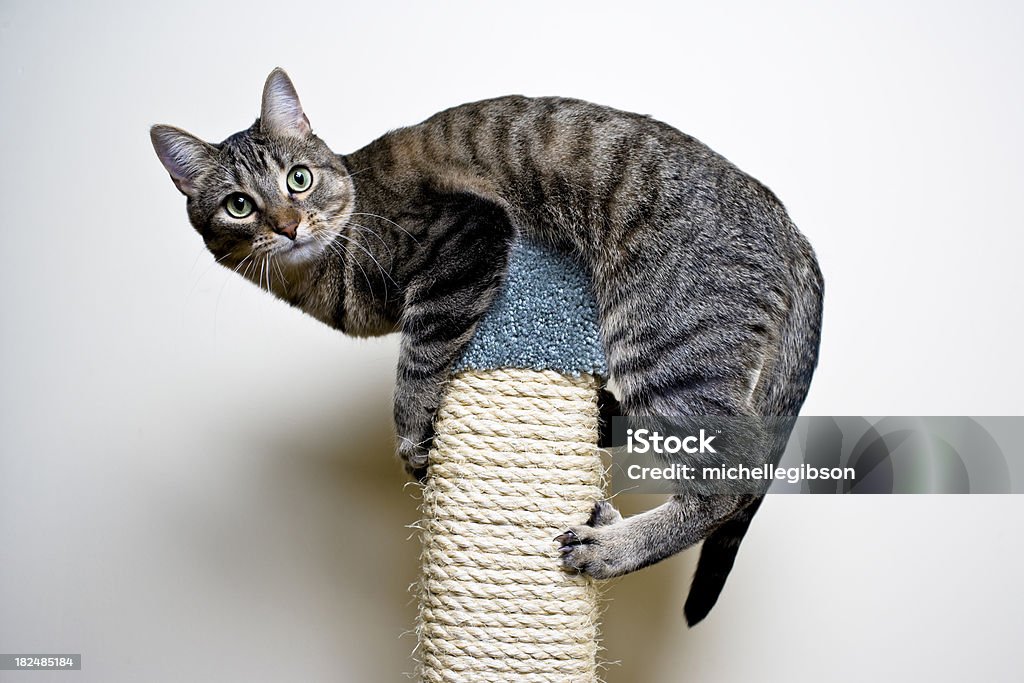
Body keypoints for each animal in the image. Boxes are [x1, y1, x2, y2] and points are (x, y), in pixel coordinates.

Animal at [149, 69, 823, 626]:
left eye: (299, 179)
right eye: (239, 206)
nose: (288, 227)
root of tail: (793, 230)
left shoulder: (464, 237)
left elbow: (418, 362)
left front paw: (412, 434)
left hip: (662, 344)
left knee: (734, 481)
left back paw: (612, 548)